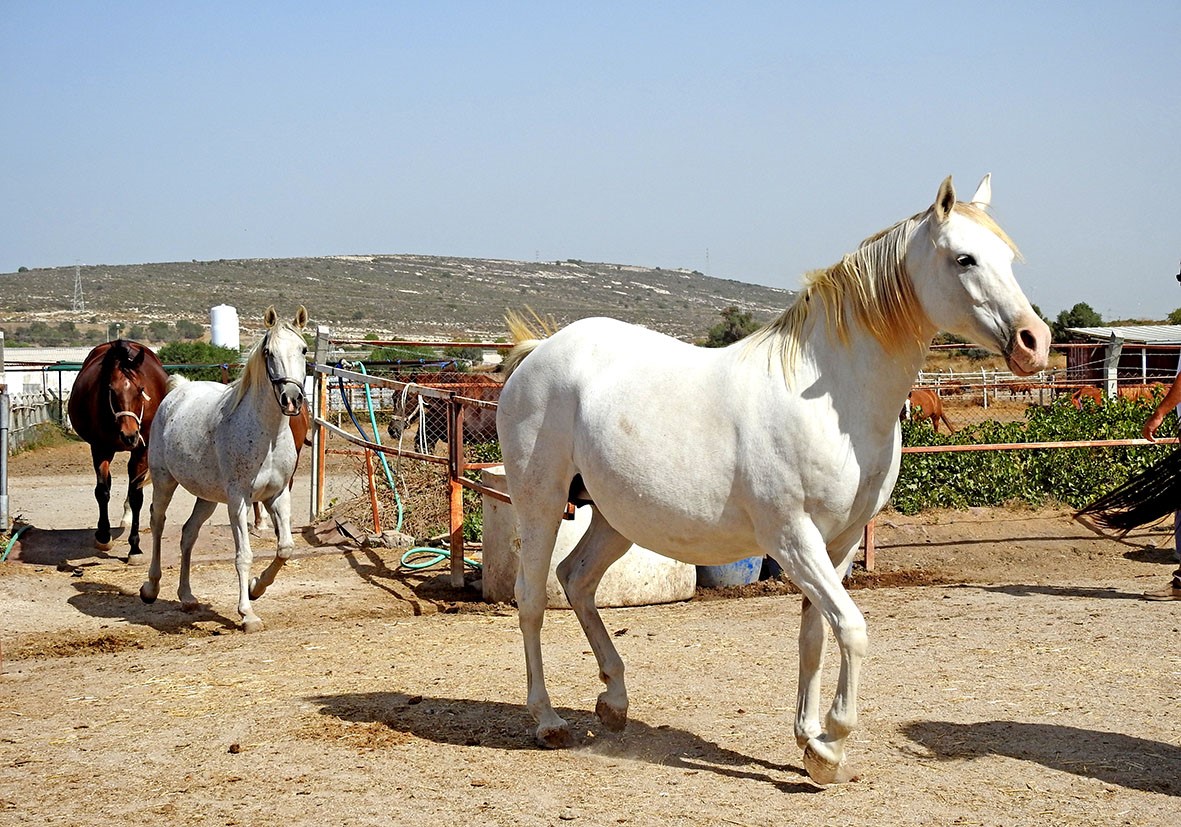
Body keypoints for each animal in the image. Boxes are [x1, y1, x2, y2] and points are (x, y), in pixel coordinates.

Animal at [67, 340, 168, 559]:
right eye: (111, 390)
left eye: (140, 389)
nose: (129, 435)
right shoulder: (100, 448)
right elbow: (102, 491)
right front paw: (104, 537)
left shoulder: (142, 450)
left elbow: (137, 496)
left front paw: (135, 547)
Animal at [141, 304, 309, 633]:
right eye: (268, 352)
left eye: (304, 350)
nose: (292, 400)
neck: (267, 435)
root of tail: (179, 390)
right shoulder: (238, 500)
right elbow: (243, 555)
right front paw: (247, 614)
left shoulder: (278, 495)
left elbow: (286, 547)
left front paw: (257, 588)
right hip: (164, 481)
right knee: (158, 523)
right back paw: (151, 588)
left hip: (206, 497)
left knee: (188, 534)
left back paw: (187, 596)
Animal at [493, 174, 1048, 779]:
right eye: (964, 258)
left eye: (1009, 258)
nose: (1034, 342)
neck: (833, 400)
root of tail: (537, 353)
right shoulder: (792, 538)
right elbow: (852, 629)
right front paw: (832, 747)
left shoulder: (839, 543)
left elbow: (816, 634)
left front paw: (808, 738)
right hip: (541, 504)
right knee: (531, 599)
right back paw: (548, 720)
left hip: (616, 517)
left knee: (577, 580)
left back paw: (614, 703)